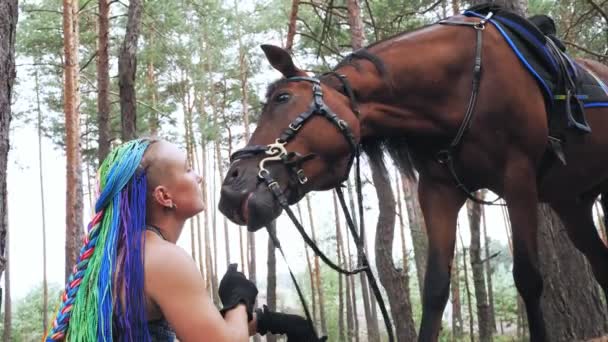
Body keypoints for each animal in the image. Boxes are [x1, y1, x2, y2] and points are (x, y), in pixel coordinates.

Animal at [220, 12, 608, 340]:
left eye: (283, 98)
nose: (231, 187)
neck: (467, 83)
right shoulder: (439, 191)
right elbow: (435, 289)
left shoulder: (519, 179)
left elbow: (528, 279)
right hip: (572, 204)